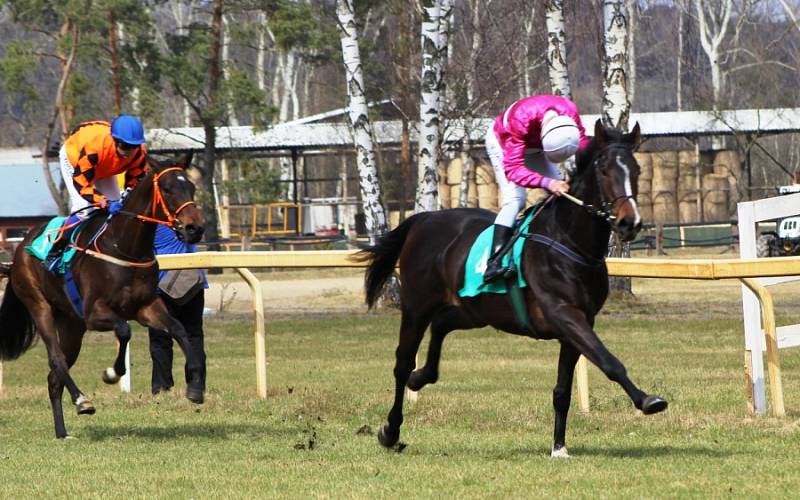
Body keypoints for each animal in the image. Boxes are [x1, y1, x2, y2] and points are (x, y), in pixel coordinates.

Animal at [0, 155, 206, 438]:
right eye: (167, 189)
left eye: (191, 188)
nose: (195, 228)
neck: (125, 248)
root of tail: (20, 249)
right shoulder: (94, 313)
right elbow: (124, 331)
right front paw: (112, 372)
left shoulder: (146, 307)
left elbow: (178, 329)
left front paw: (195, 386)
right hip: (39, 305)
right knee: (57, 359)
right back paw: (81, 400)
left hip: (72, 325)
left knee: (54, 377)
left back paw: (62, 432)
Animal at [356, 120, 668, 458]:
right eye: (604, 170)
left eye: (636, 169)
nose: (629, 223)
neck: (569, 241)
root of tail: (423, 219)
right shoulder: (564, 313)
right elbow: (609, 361)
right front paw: (648, 400)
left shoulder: (579, 322)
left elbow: (563, 390)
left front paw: (559, 447)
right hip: (416, 306)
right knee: (402, 363)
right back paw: (391, 430)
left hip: (475, 310)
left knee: (441, 325)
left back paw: (421, 377)